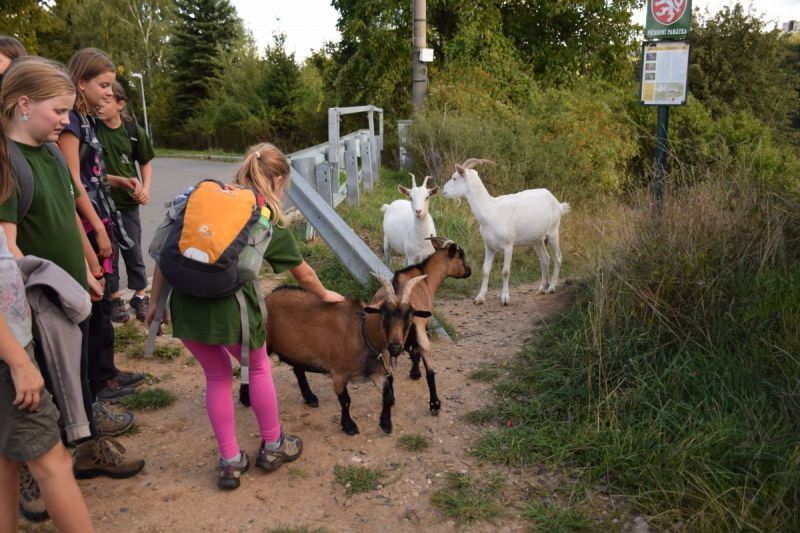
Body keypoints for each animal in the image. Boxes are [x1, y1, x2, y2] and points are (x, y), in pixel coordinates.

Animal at [264, 274, 428, 432]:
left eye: (410, 318)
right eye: (384, 315)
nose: (395, 347)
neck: (362, 332)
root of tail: (268, 296)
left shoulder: (375, 371)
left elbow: (387, 395)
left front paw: (386, 424)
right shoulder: (339, 374)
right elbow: (346, 401)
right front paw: (349, 426)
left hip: (298, 352)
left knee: (298, 370)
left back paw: (310, 398)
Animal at [372, 237, 472, 416]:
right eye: (461, 256)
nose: (469, 271)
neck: (425, 277)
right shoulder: (422, 327)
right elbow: (417, 353)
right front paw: (415, 373)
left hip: (384, 342)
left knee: (388, 374)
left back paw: (391, 398)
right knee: (430, 371)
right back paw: (435, 404)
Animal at [444, 158, 568, 304]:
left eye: (454, 177)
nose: (444, 190)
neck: (491, 210)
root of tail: (557, 204)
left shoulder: (508, 245)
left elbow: (505, 271)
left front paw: (505, 298)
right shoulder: (489, 246)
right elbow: (485, 270)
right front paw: (480, 297)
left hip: (553, 232)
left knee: (557, 257)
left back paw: (552, 287)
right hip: (536, 239)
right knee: (545, 259)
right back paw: (542, 288)